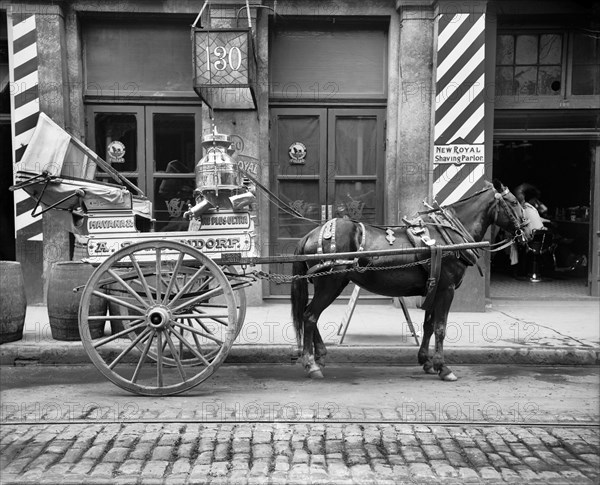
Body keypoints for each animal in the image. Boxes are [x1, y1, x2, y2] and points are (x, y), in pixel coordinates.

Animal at [292, 180, 528, 380]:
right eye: (514, 202)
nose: (529, 228)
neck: (450, 236)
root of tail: (311, 235)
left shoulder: (435, 288)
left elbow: (429, 325)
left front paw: (427, 362)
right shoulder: (447, 289)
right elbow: (441, 327)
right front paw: (444, 367)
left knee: (308, 315)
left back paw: (320, 355)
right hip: (331, 283)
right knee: (310, 316)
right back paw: (311, 363)